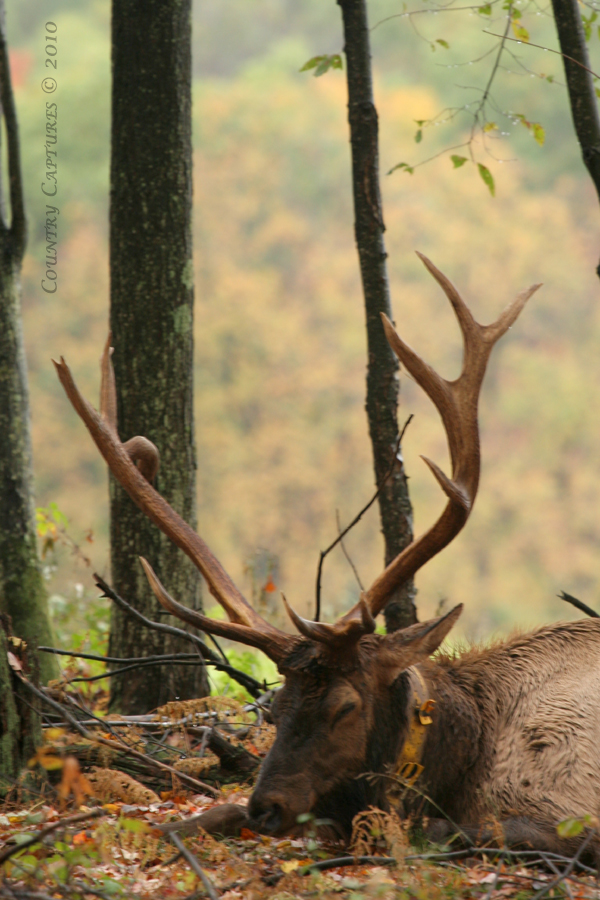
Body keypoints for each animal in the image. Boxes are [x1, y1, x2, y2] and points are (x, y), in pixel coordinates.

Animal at [53, 254, 600, 854]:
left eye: (345, 706)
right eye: (275, 708)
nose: (267, 806)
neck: (467, 749)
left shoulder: (567, 806)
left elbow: (454, 829)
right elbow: (208, 813)